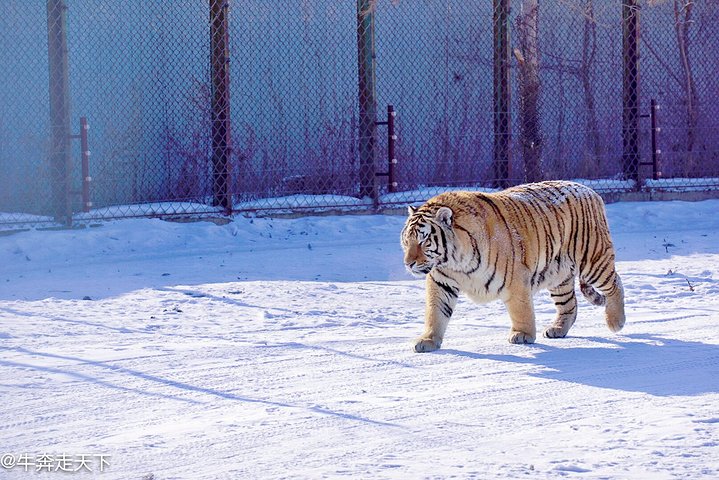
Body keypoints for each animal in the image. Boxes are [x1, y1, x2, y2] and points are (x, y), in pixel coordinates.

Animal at [402, 180, 628, 352]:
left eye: (423, 240)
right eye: (406, 241)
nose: (408, 263)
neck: (456, 263)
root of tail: (590, 191)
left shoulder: (515, 279)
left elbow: (521, 309)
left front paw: (522, 334)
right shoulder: (441, 282)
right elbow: (435, 312)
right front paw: (428, 340)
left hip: (592, 260)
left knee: (615, 283)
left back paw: (616, 322)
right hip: (558, 274)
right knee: (569, 304)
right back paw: (557, 329)